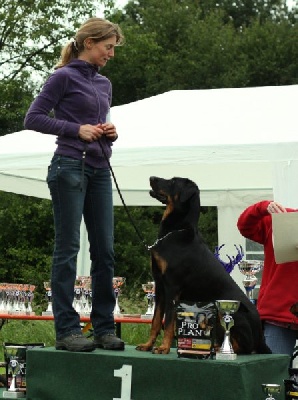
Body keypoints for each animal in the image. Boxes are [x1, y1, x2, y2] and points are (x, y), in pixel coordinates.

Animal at [136, 177, 272, 354]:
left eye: (173, 182)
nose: (151, 178)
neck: (176, 232)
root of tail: (261, 337)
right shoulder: (159, 286)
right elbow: (156, 321)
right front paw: (148, 345)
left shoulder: (172, 287)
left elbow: (169, 322)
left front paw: (164, 347)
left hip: (230, 313)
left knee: (244, 347)